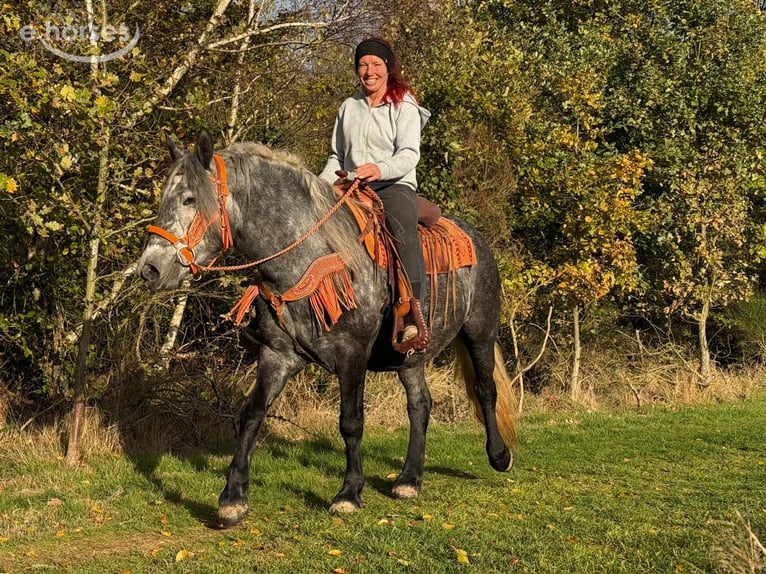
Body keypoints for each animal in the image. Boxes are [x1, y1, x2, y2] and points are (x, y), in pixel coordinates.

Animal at [137, 128, 518, 527]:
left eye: (190, 198)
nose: (149, 269)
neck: (308, 255)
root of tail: (474, 236)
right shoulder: (278, 355)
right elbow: (251, 414)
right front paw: (233, 498)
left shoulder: (352, 354)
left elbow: (351, 422)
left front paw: (349, 493)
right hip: (410, 356)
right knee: (420, 404)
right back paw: (409, 479)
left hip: (479, 332)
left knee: (485, 389)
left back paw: (499, 455)